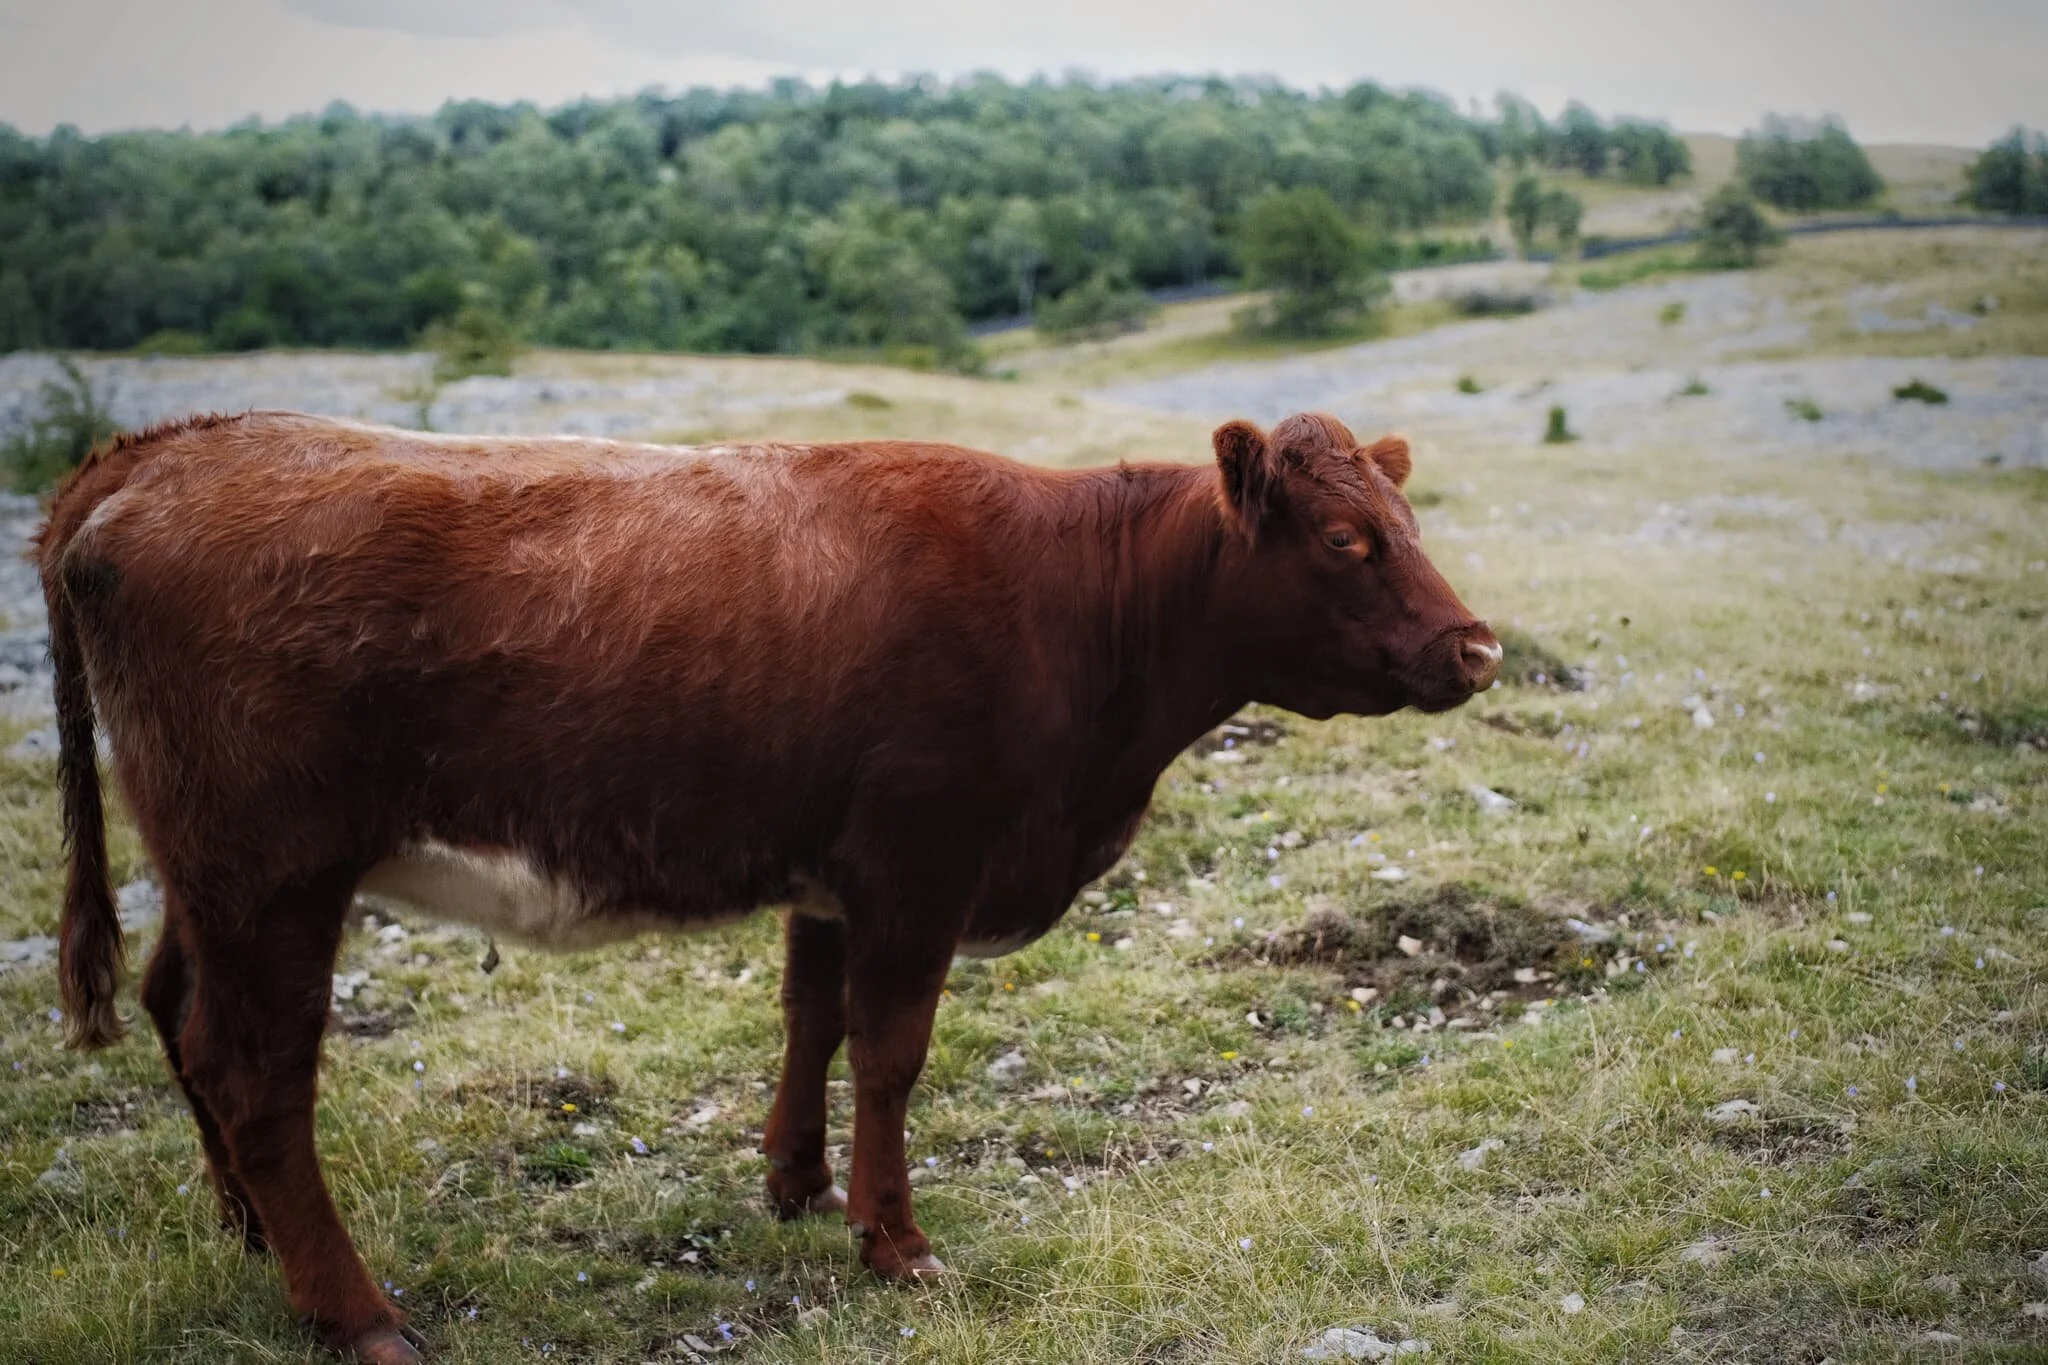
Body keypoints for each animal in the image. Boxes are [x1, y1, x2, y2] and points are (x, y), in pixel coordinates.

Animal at [39, 409, 1499, 1363]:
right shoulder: (923, 859)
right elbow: (891, 1050)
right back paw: (355, 1313)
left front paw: (796, 1183)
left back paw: (249, 1239)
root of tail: (148, 454)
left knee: (182, 1018)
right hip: (272, 870)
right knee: (257, 1074)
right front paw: (894, 1240)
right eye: (1344, 540)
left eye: (1405, 521)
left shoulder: (835, 869)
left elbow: (812, 1018)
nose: (1475, 647)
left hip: (213, 877)